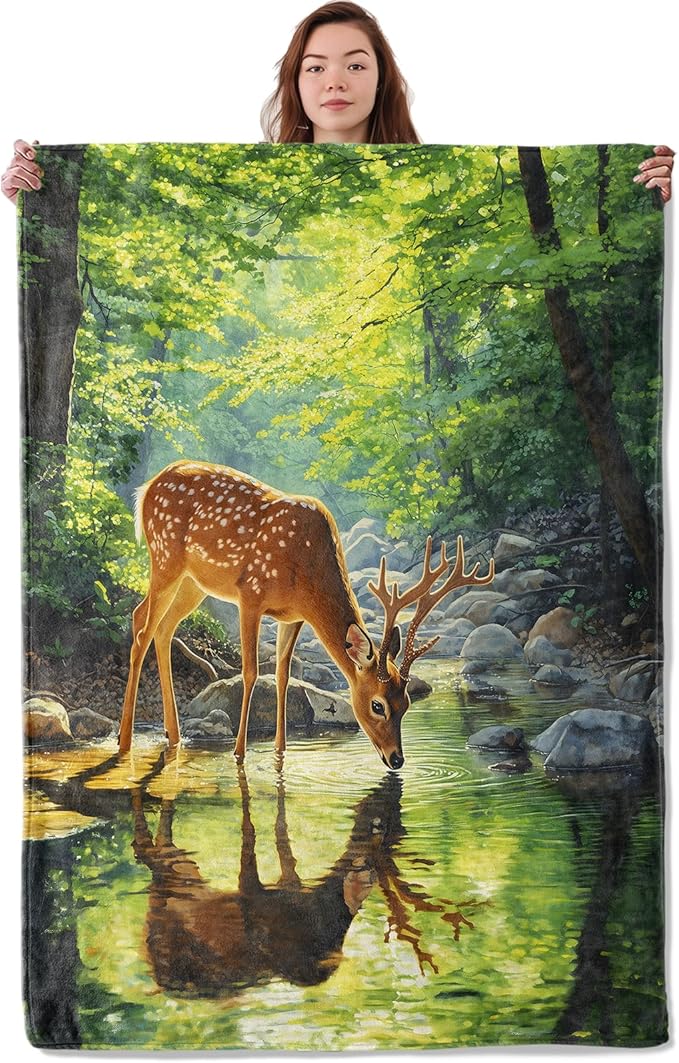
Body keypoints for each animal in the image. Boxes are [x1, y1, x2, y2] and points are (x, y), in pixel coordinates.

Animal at [119, 460, 495, 766]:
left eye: (405, 703)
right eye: (378, 705)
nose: (397, 759)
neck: (308, 570)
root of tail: (146, 488)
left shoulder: (294, 616)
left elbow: (283, 675)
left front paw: (281, 750)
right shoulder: (250, 594)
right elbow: (251, 672)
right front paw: (239, 753)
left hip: (194, 582)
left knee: (158, 626)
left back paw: (173, 736)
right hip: (165, 558)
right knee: (142, 626)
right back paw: (125, 742)